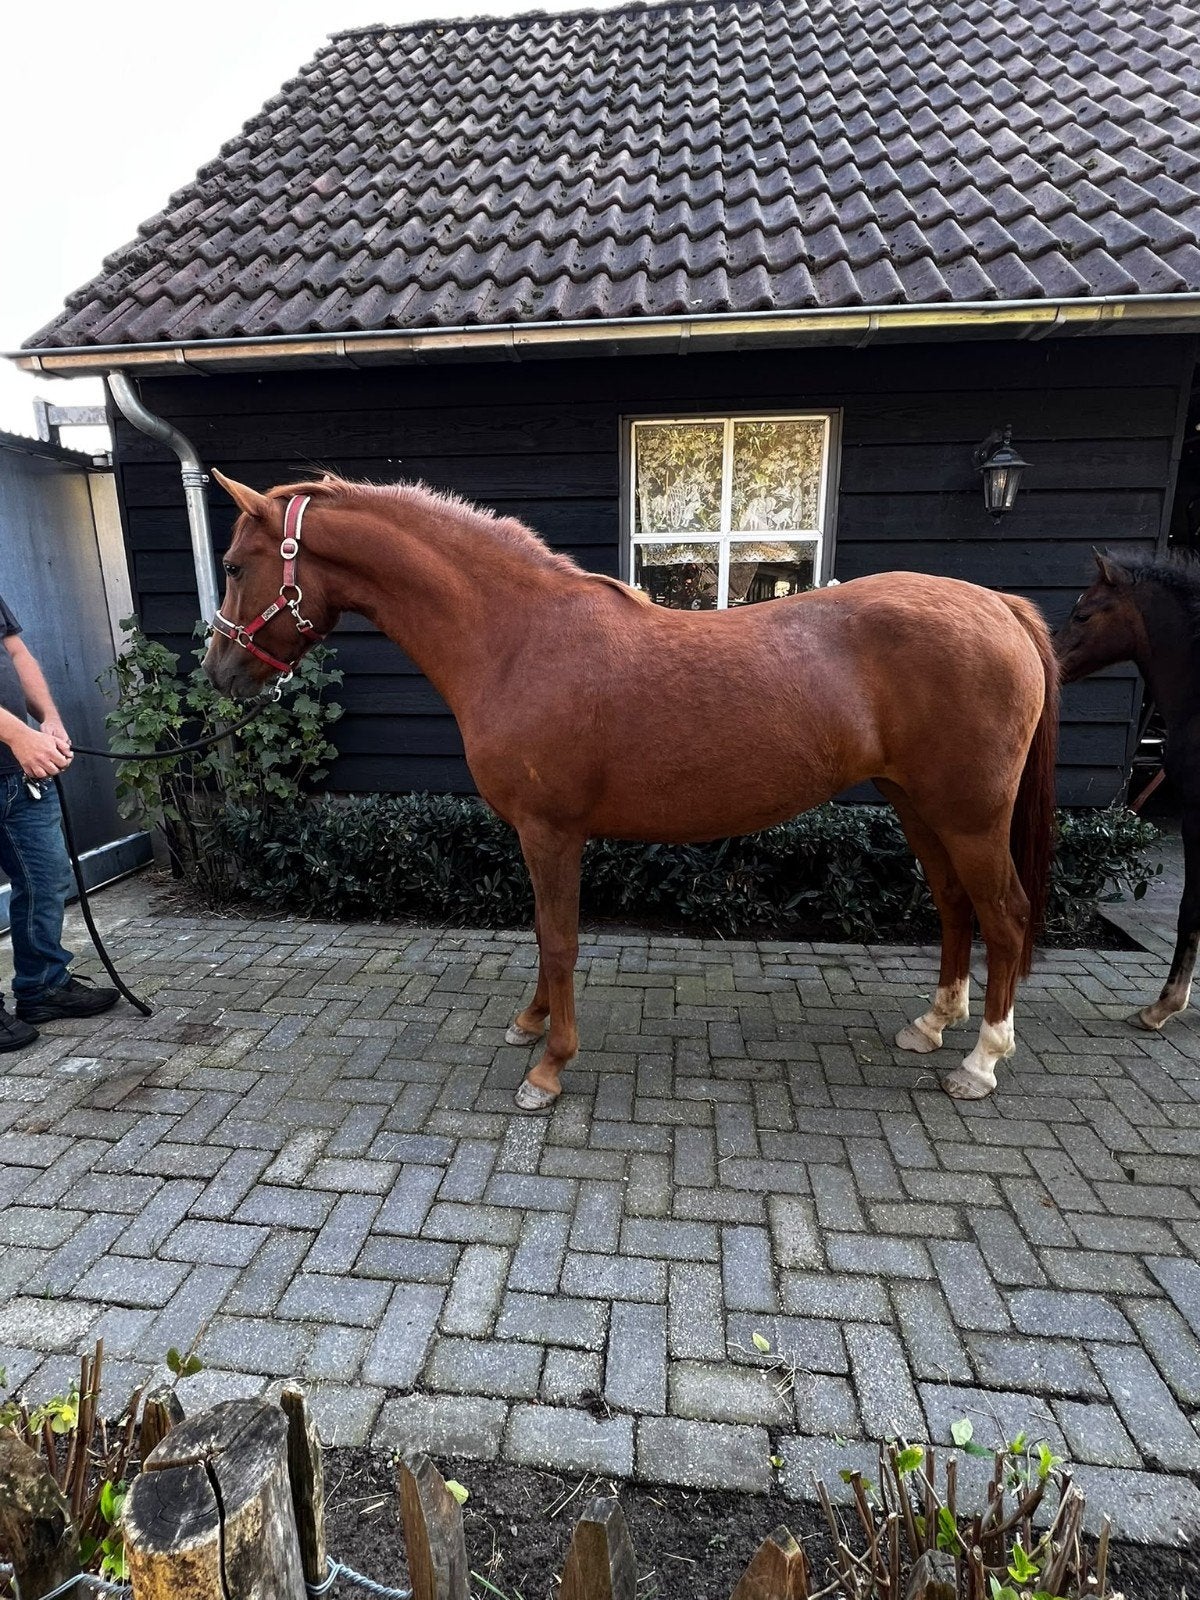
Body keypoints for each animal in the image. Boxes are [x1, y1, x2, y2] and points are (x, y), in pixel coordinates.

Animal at [203, 472, 1059, 1108]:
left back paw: (980, 1061)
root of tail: (1000, 607)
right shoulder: (538, 834)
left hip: (970, 816)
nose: (218, 670)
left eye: (237, 565)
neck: (515, 638)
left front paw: (549, 1067)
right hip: (919, 806)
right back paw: (931, 1024)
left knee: (1006, 916)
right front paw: (529, 1023)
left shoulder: (551, 831)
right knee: (955, 907)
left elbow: (558, 939)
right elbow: (542, 936)